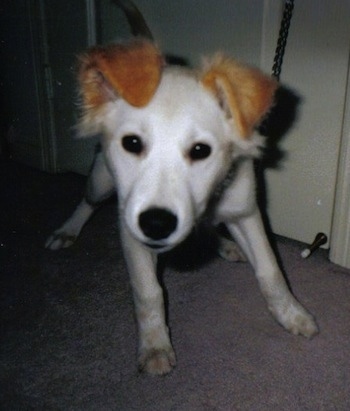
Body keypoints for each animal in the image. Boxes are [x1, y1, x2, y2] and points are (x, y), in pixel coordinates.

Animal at [45, 39, 318, 376]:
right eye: (131, 143)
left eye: (201, 150)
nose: (156, 224)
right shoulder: (131, 228)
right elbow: (148, 292)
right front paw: (155, 345)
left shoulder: (245, 212)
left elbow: (272, 272)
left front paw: (292, 314)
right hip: (100, 182)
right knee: (87, 201)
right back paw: (67, 231)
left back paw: (227, 245)